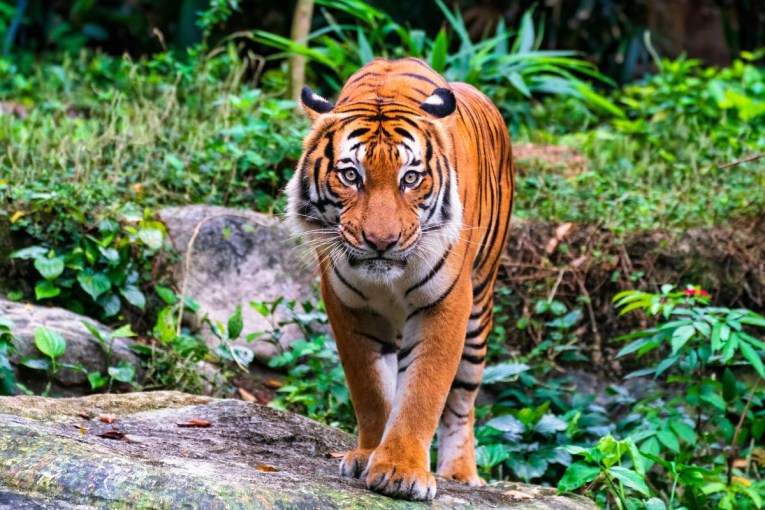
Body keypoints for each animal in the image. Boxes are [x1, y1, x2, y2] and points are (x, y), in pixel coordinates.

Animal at [286, 57, 514, 501]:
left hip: (479, 310)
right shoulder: (348, 305)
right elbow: (371, 389)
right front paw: (369, 454)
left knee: (463, 401)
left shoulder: (446, 303)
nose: (381, 241)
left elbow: (424, 389)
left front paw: (401, 471)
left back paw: (460, 473)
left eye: (410, 178)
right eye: (351, 176)